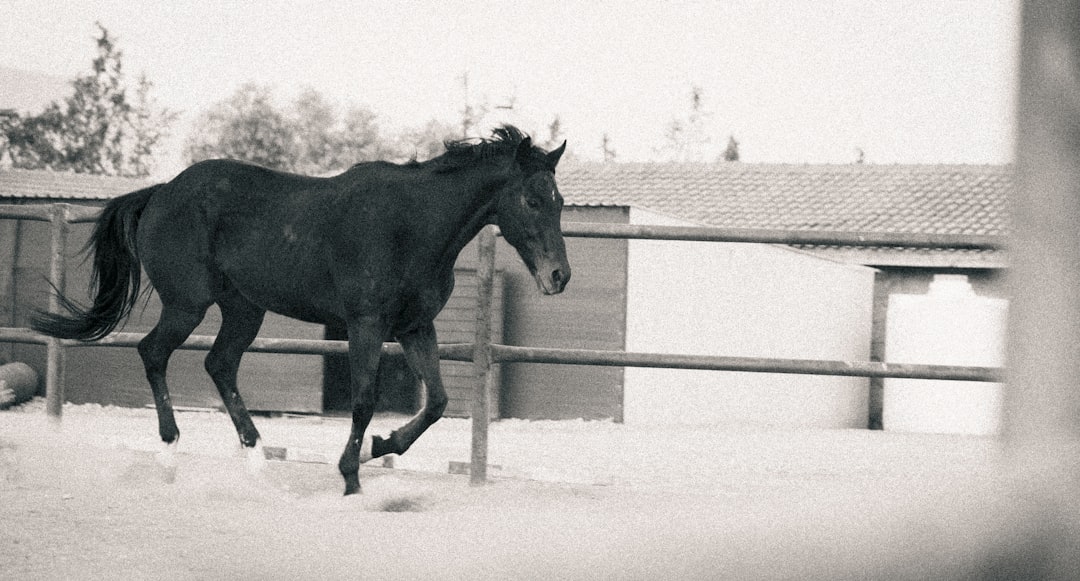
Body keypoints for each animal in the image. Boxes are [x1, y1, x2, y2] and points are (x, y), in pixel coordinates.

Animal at [32, 125, 570, 495]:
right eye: (531, 199)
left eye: (560, 201)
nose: (559, 277)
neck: (411, 225)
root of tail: (161, 193)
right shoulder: (365, 324)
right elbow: (363, 400)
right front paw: (351, 475)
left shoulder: (415, 326)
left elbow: (436, 402)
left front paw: (381, 447)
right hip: (187, 305)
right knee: (154, 354)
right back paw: (169, 454)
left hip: (243, 311)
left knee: (219, 365)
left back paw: (257, 461)